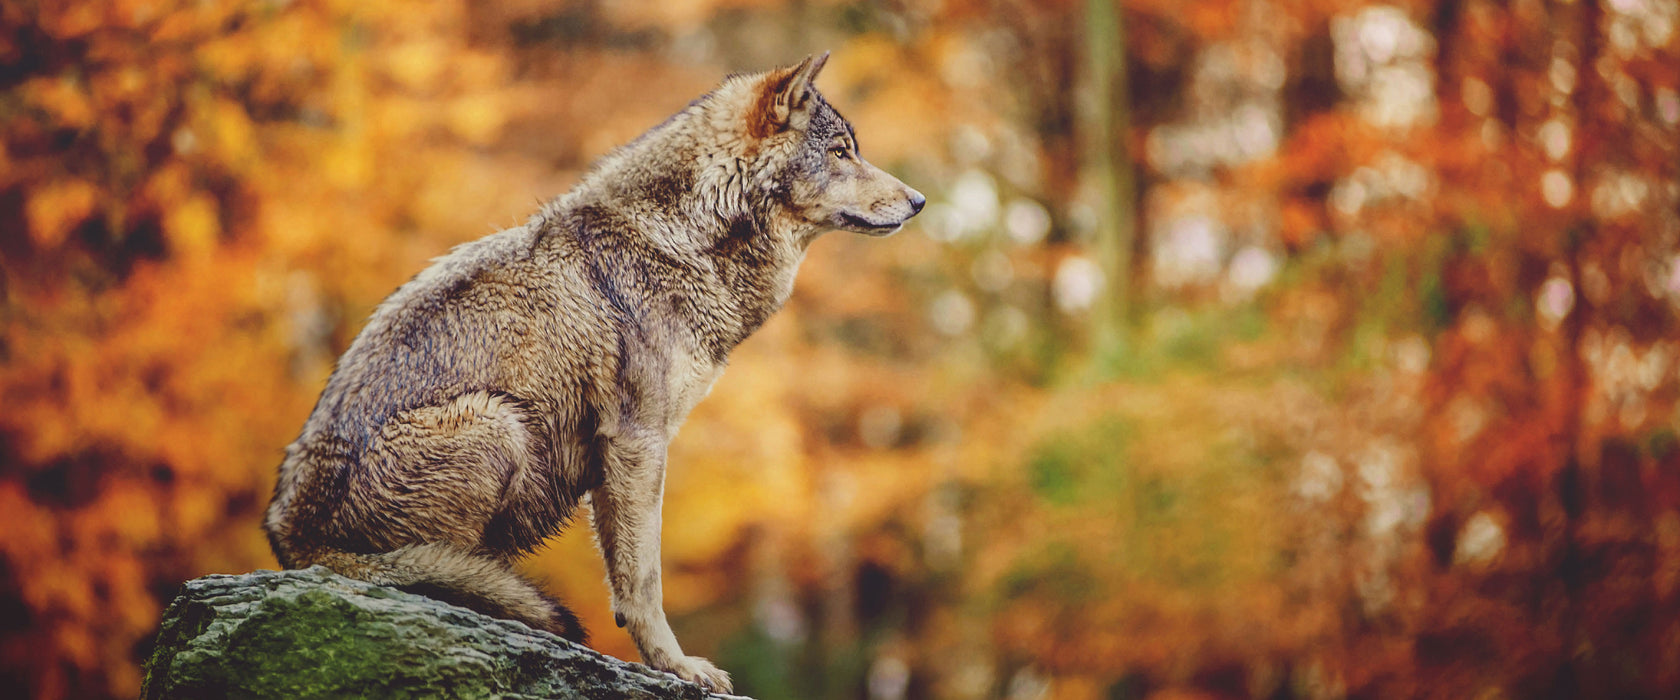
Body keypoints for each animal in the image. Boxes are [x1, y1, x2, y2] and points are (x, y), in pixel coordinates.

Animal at [262, 53, 927, 688]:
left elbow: (626, 577)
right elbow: (644, 579)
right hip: (497, 422)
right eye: (841, 152)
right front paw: (678, 668)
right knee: (437, 571)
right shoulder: (638, 441)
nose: (920, 202)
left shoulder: (620, 457)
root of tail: (292, 539)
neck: (682, 239)